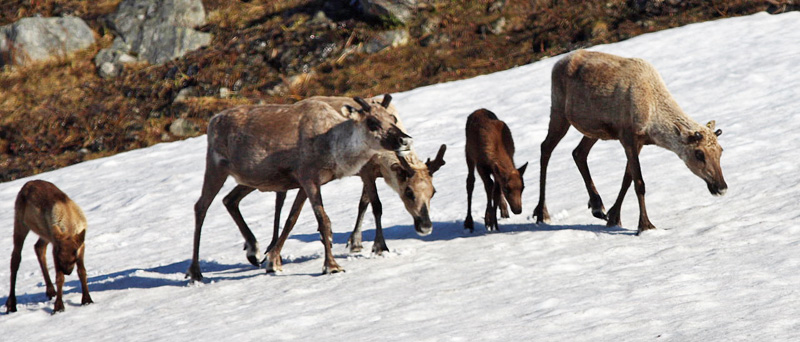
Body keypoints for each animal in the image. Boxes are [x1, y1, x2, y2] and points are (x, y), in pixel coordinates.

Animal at [5, 180, 92, 314]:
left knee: (38, 247)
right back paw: (11, 304)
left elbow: (82, 271)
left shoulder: (80, 245)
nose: (67, 271)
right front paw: (58, 307)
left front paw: (87, 300)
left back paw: (50, 290)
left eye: (74, 258)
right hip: (21, 223)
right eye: (60, 258)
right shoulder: (55, 247)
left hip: (44, 234)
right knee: (15, 258)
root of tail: (26, 184)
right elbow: (59, 277)